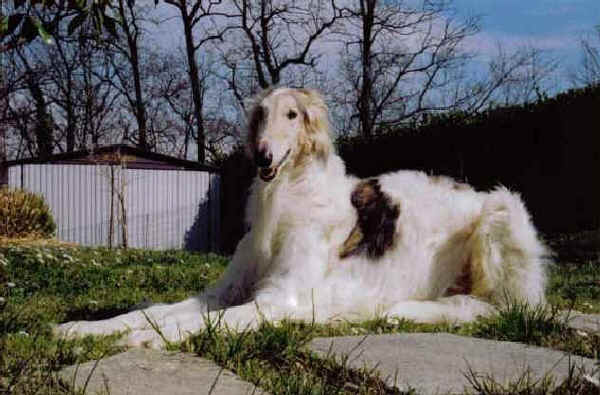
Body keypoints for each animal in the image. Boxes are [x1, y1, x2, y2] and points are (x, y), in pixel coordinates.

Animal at [57, 87, 548, 350]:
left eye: (292, 115)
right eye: (260, 115)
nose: (262, 157)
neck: (286, 197)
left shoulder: (279, 299)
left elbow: (201, 322)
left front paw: (149, 340)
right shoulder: (225, 291)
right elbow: (153, 311)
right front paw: (82, 328)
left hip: (502, 213)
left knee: (497, 307)